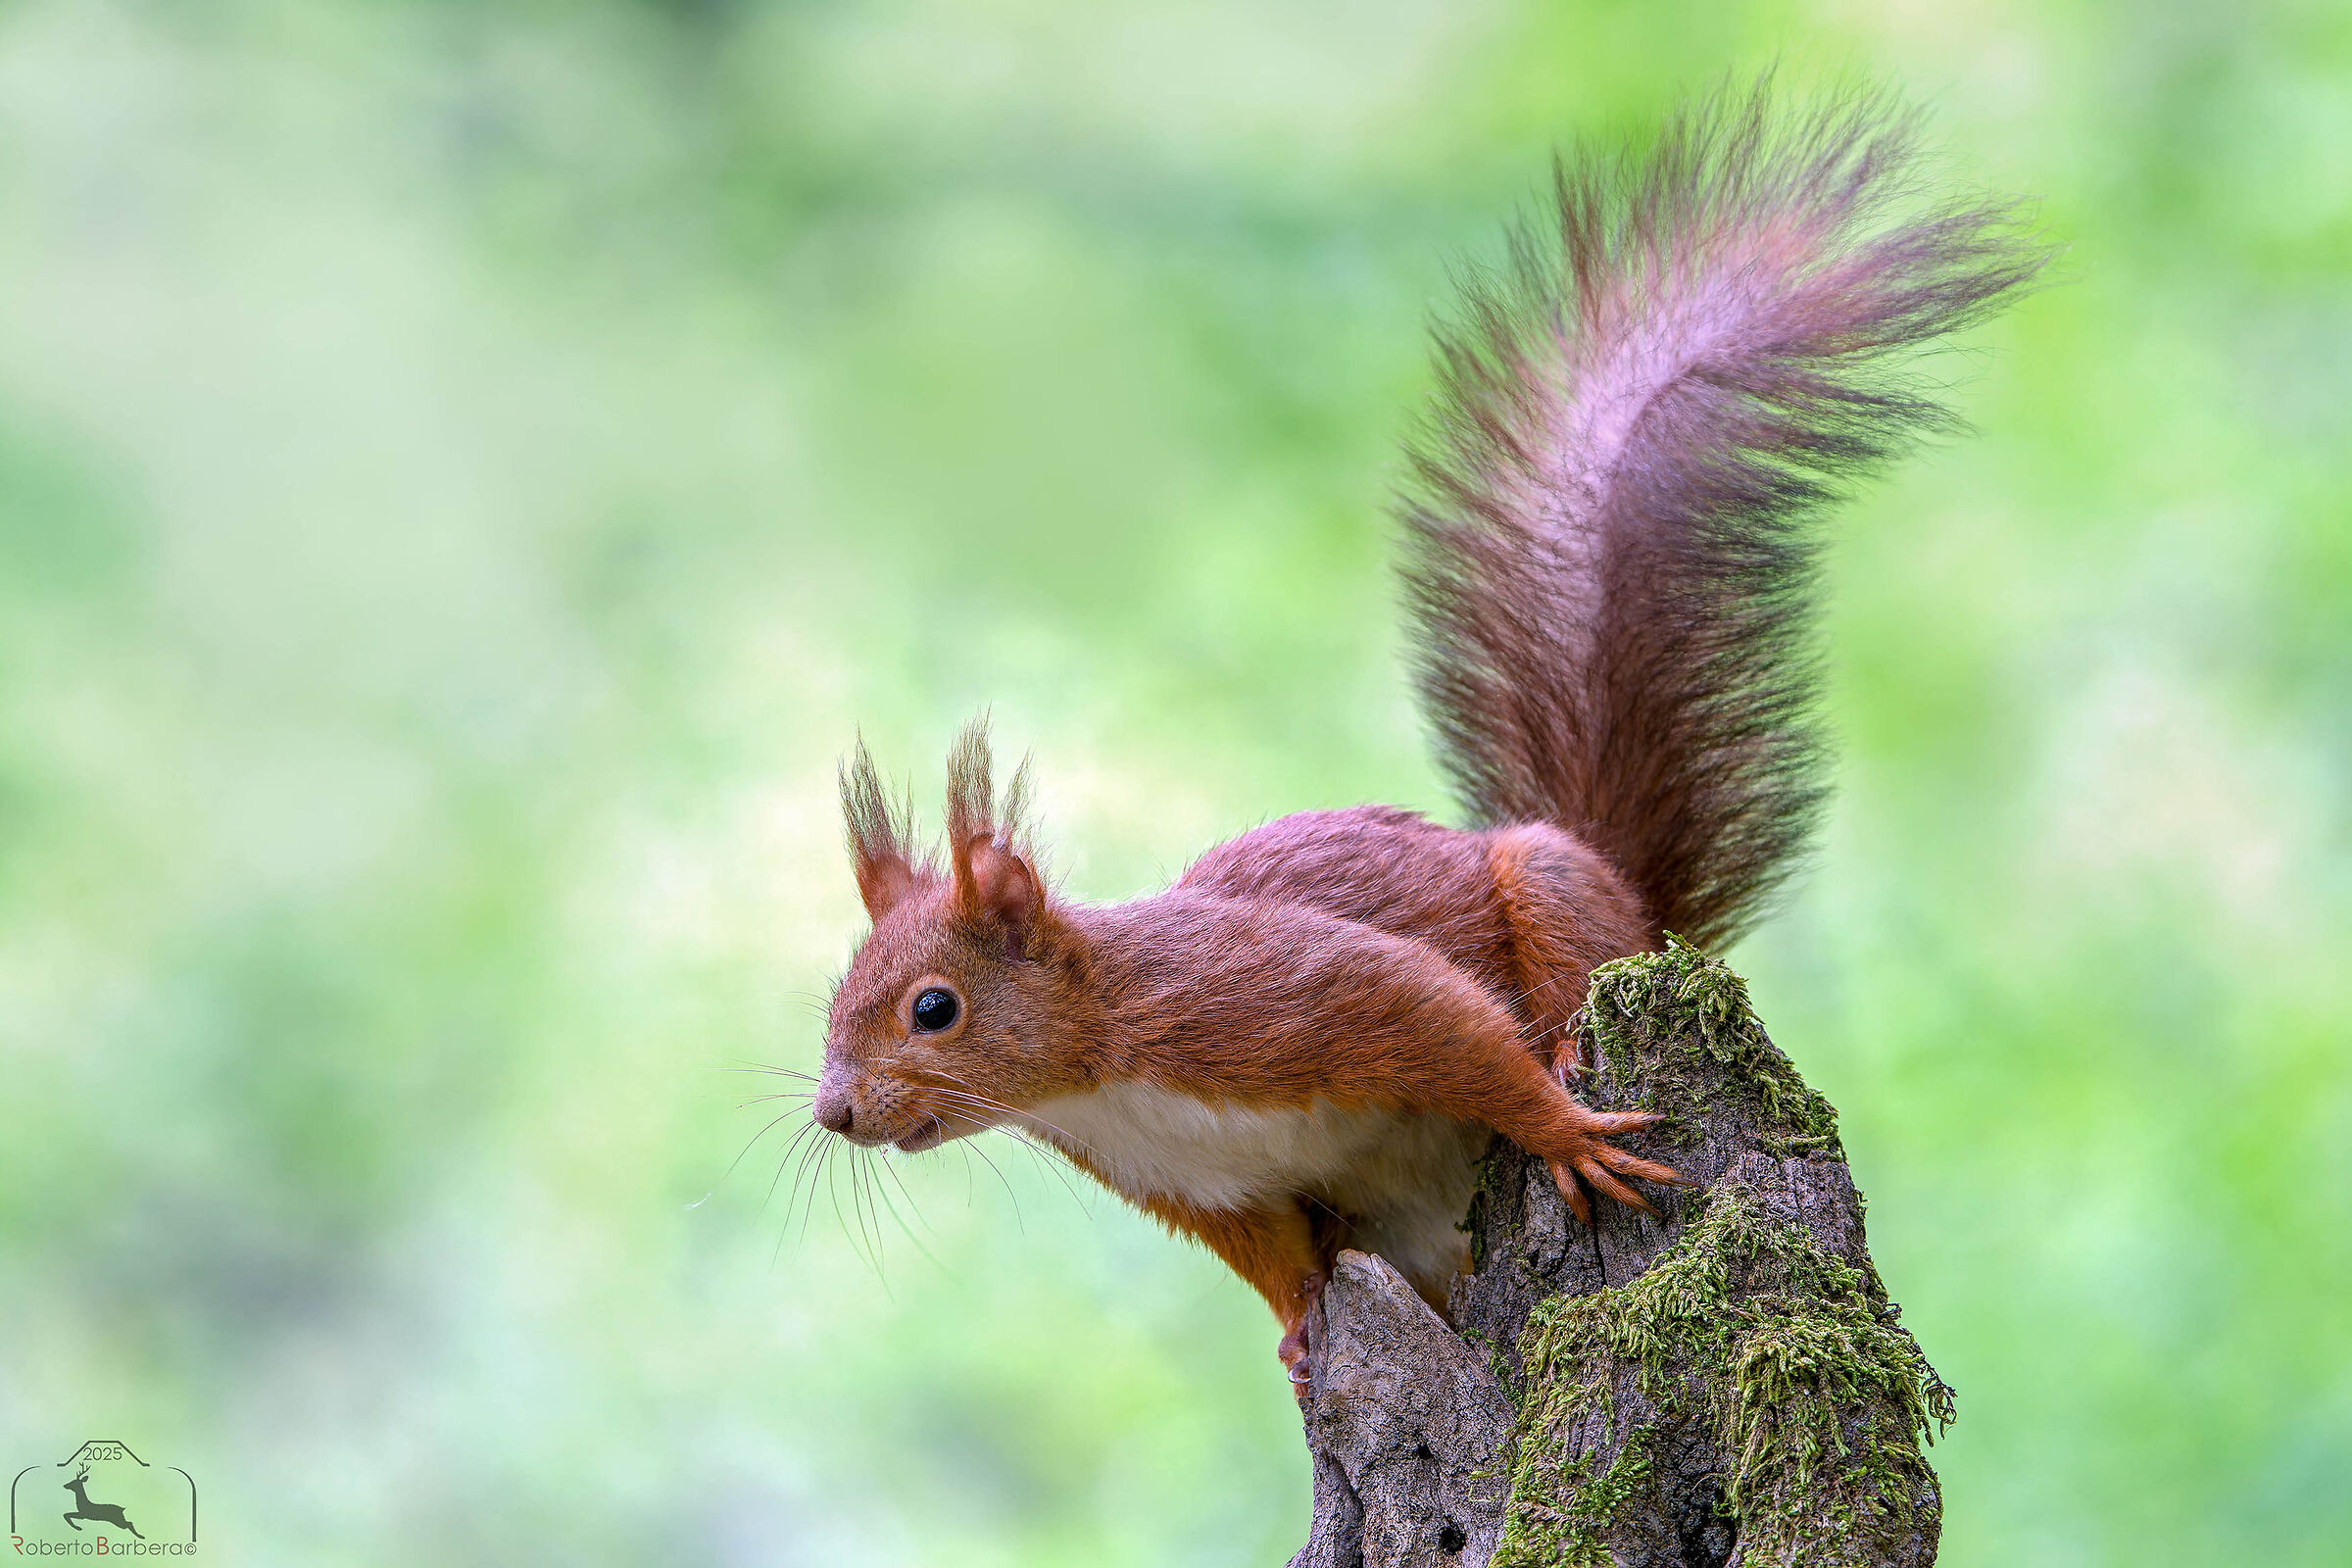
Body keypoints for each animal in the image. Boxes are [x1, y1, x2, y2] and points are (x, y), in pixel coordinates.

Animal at [810, 82, 2047, 1391]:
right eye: (840, 995)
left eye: (933, 1008)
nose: (834, 1113)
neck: (1098, 1068)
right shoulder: (1206, 1184)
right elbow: (1276, 1259)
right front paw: (1302, 1329)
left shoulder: (1264, 1000)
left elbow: (1441, 1023)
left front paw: (1565, 1130)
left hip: (1559, 896)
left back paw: (1571, 1046)